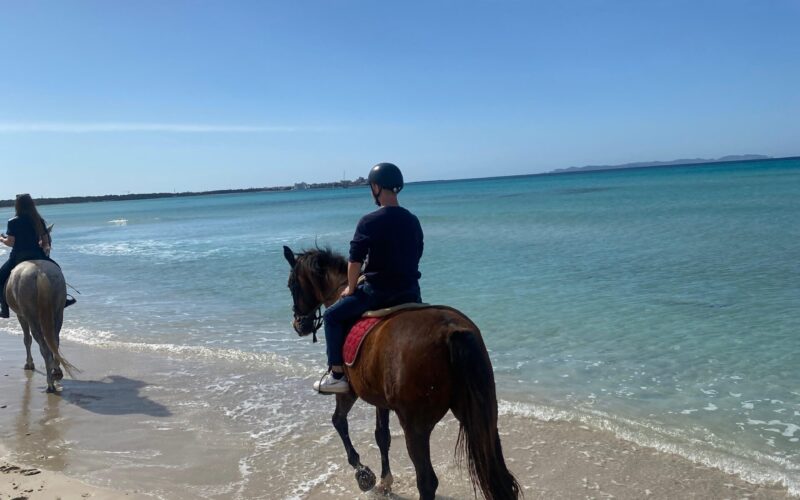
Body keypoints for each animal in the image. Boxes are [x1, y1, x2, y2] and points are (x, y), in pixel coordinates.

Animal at [5, 260, 77, 392]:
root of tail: (40, 272)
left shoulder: (21, 316)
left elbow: (27, 340)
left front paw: (29, 364)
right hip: (58, 313)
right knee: (55, 341)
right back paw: (56, 371)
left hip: (31, 317)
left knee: (44, 348)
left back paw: (50, 384)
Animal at [284, 247, 520, 500]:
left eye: (292, 285)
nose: (299, 324)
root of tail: (451, 331)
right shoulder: (380, 399)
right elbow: (381, 435)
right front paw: (384, 481)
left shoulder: (349, 392)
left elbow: (339, 422)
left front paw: (363, 474)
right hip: (481, 415)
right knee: (501, 478)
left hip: (415, 426)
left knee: (427, 482)